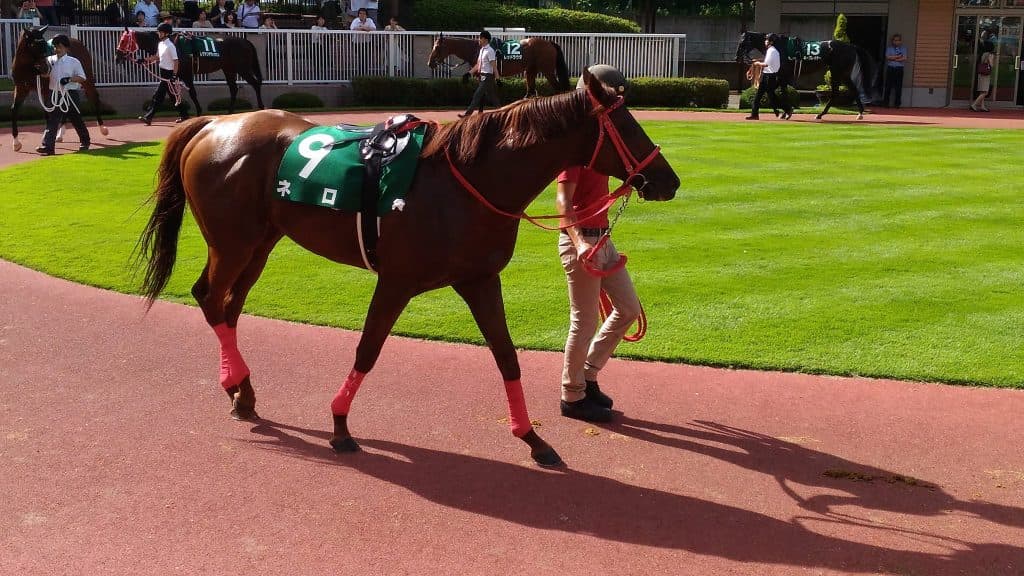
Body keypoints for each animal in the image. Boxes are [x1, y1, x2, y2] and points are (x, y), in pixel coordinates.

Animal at [114, 28, 265, 116]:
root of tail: (246, 41)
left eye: (124, 40)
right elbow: (168, 94)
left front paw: (197, 112)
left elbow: (191, 93)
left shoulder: (186, 74)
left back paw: (261, 107)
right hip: (229, 69)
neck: (171, 44)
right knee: (233, 88)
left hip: (242, 68)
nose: (117, 57)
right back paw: (230, 111)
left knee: (255, 84)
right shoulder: (172, 76)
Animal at [135, 67, 679, 467]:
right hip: (233, 243)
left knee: (228, 306)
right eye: (628, 125)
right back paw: (239, 386)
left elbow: (507, 357)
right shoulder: (396, 282)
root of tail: (214, 124)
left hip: (261, 243)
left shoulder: (479, 280)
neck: (466, 181)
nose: (668, 180)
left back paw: (241, 391)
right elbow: (367, 350)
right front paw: (340, 425)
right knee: (210, 298)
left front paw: (532, 438)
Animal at [427, 34, 571, 98]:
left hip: (547, 70)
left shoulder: (483, 75)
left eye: (437, 47)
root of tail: (550, 43)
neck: (476, 49)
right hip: (530, 70)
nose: (430, 63)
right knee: (530, 90)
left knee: (558, 88)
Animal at [736, 31, 876, 120]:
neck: (778, 46)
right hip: (843, 74)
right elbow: (769, 90)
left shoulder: (782, 75)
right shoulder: (778, 75)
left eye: (742, 43)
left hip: (838, 72)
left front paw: (786, 112)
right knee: (853, 90)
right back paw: (859, 113)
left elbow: (782, 92)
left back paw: (821, 114)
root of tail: (851, 46)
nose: (737, 58)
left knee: (837, 92)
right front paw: (781, 112)